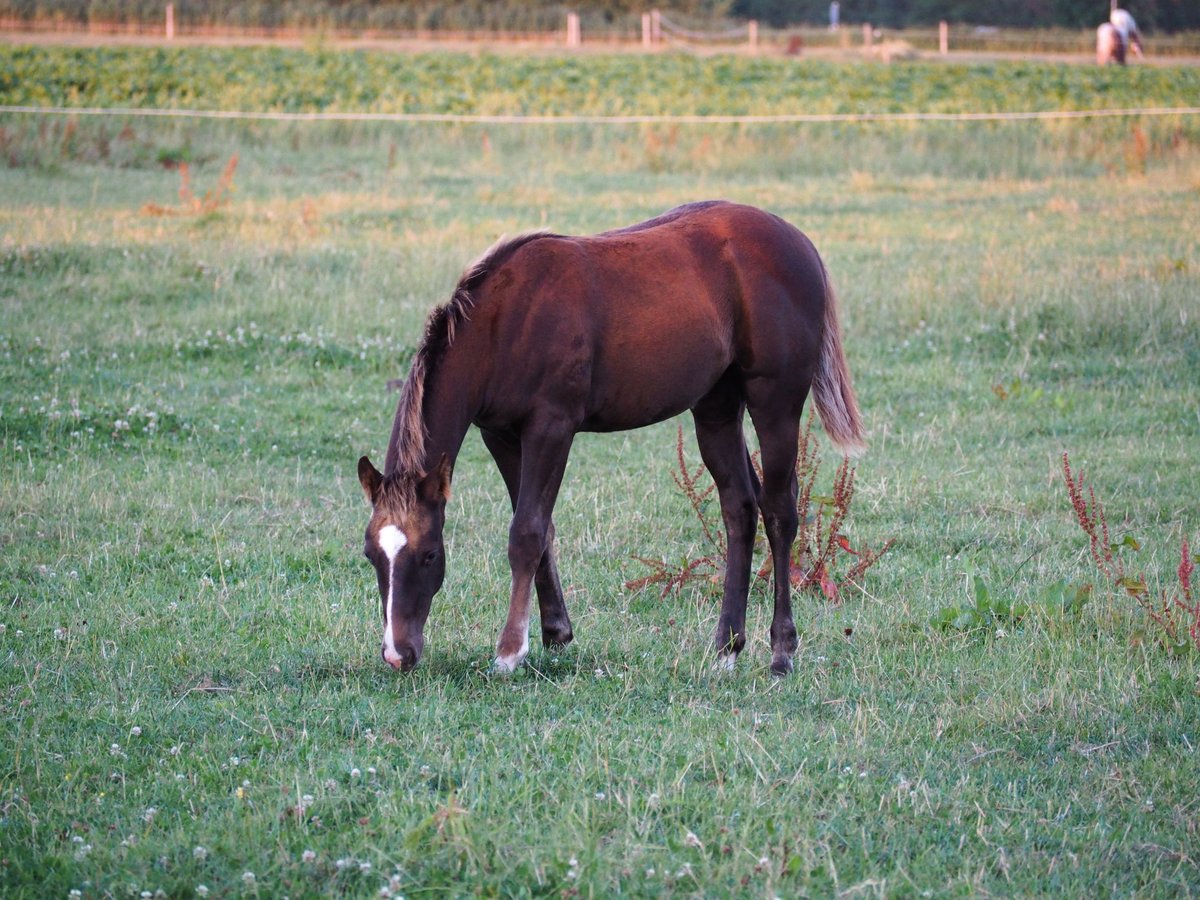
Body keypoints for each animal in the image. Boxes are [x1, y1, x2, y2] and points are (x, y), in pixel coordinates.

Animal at [355, 199, 864, 676]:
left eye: (429, 555)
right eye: (372, 556)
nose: (398, 654)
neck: (506, 324)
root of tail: (800, 243)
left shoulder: (552, 427)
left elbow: (526, 531)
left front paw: (510, 651)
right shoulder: (500, 435)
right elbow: (541, 527)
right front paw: (556, 630)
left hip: (775, 402)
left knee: (779, 512)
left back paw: (781, 651)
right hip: (716, 409)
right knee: (739, 508)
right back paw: (726, 648)